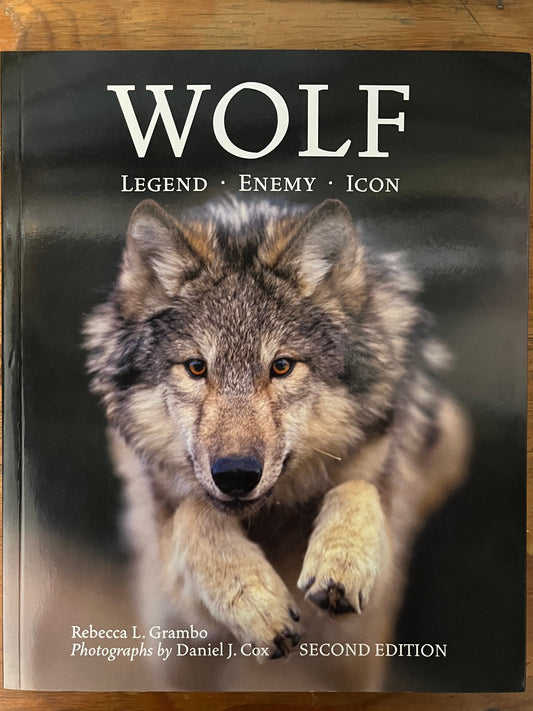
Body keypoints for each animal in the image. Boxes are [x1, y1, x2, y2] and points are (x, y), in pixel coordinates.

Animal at [84, 197, 470, 690]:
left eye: (282, 366)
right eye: (196, 367)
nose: (235, 475)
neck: (269, 518)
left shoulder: (372, 602)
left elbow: (358, 488)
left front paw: (341, 560)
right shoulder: (176, 605)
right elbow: (195, 514)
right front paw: (256, 602)